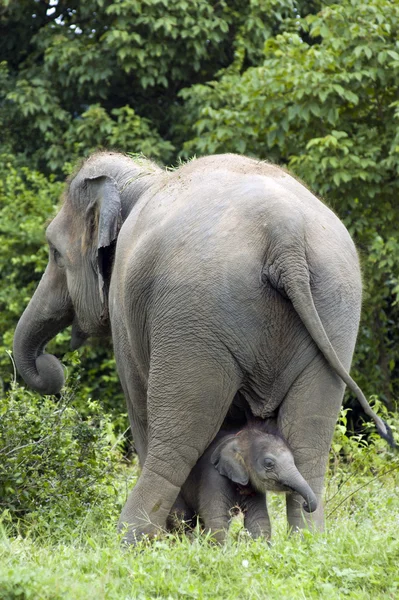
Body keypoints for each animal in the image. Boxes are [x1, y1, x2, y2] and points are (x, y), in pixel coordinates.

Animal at [173, 426, 318, 544]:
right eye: (269, 463)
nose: (305, 504)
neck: (239, 439)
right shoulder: (213, 477)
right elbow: (217, 519)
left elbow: (259, 520)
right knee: (182, 518)